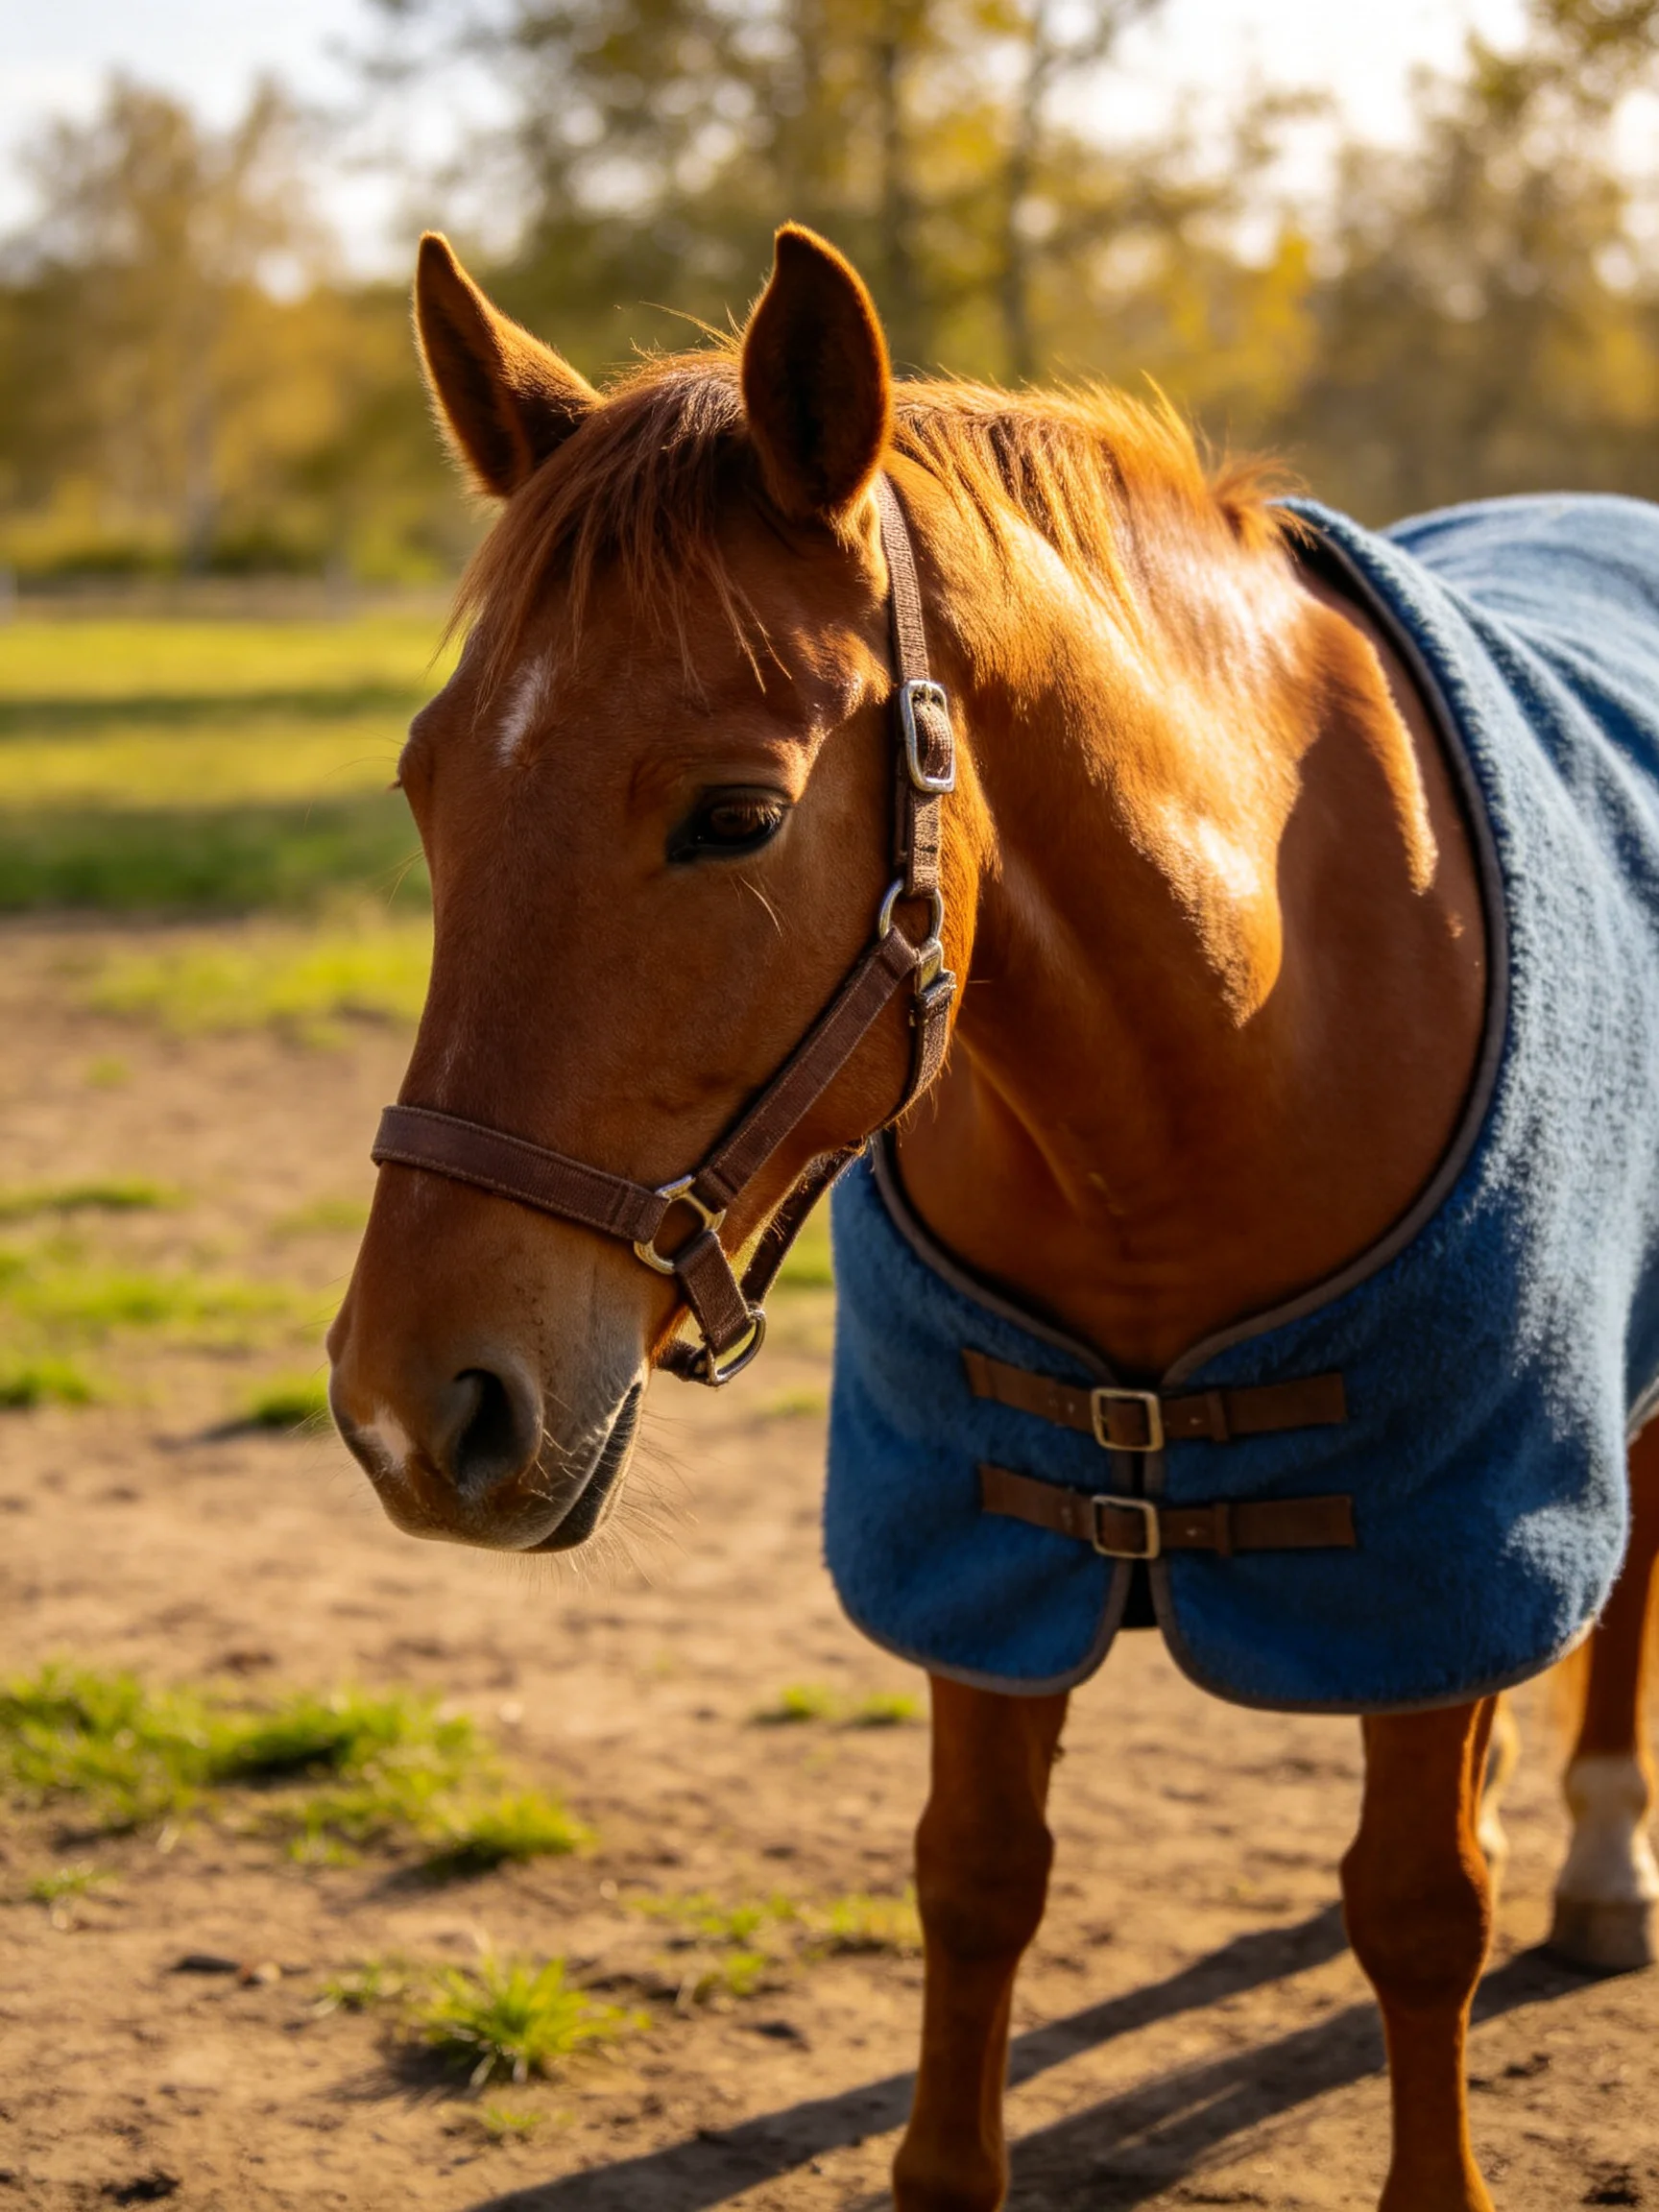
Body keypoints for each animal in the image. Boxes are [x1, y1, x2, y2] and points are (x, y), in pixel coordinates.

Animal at [326, 222, 1659, 2212]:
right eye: (428, 786)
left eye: (736, 815)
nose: (414, 1407)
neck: (1224, 1043)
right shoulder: (980, 1511)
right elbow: (972, 1875)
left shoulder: (1446, 1507)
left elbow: (1419, 1908)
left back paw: (1599, 1850)